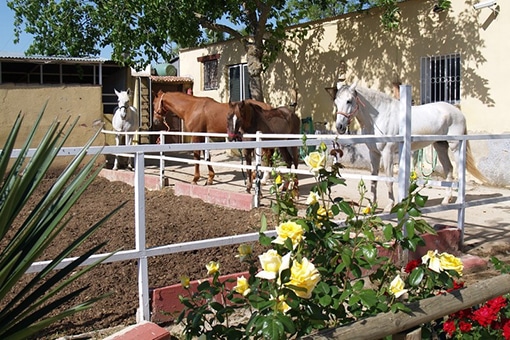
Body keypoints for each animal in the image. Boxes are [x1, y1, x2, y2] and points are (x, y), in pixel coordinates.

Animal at [334, 81, 486, 210]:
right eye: (336, 102)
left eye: (349, 100)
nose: (339, 126)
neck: (380, 116)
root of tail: (458, 112)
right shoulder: (374, 153)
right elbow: (374, 180)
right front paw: (372, 206)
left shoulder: (387, 153)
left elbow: (388, 180)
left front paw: (390, 206)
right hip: (440, 146)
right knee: (449, 169)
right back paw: (446, 200)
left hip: (455, 147)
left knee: (459, 170)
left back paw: (459, 201)